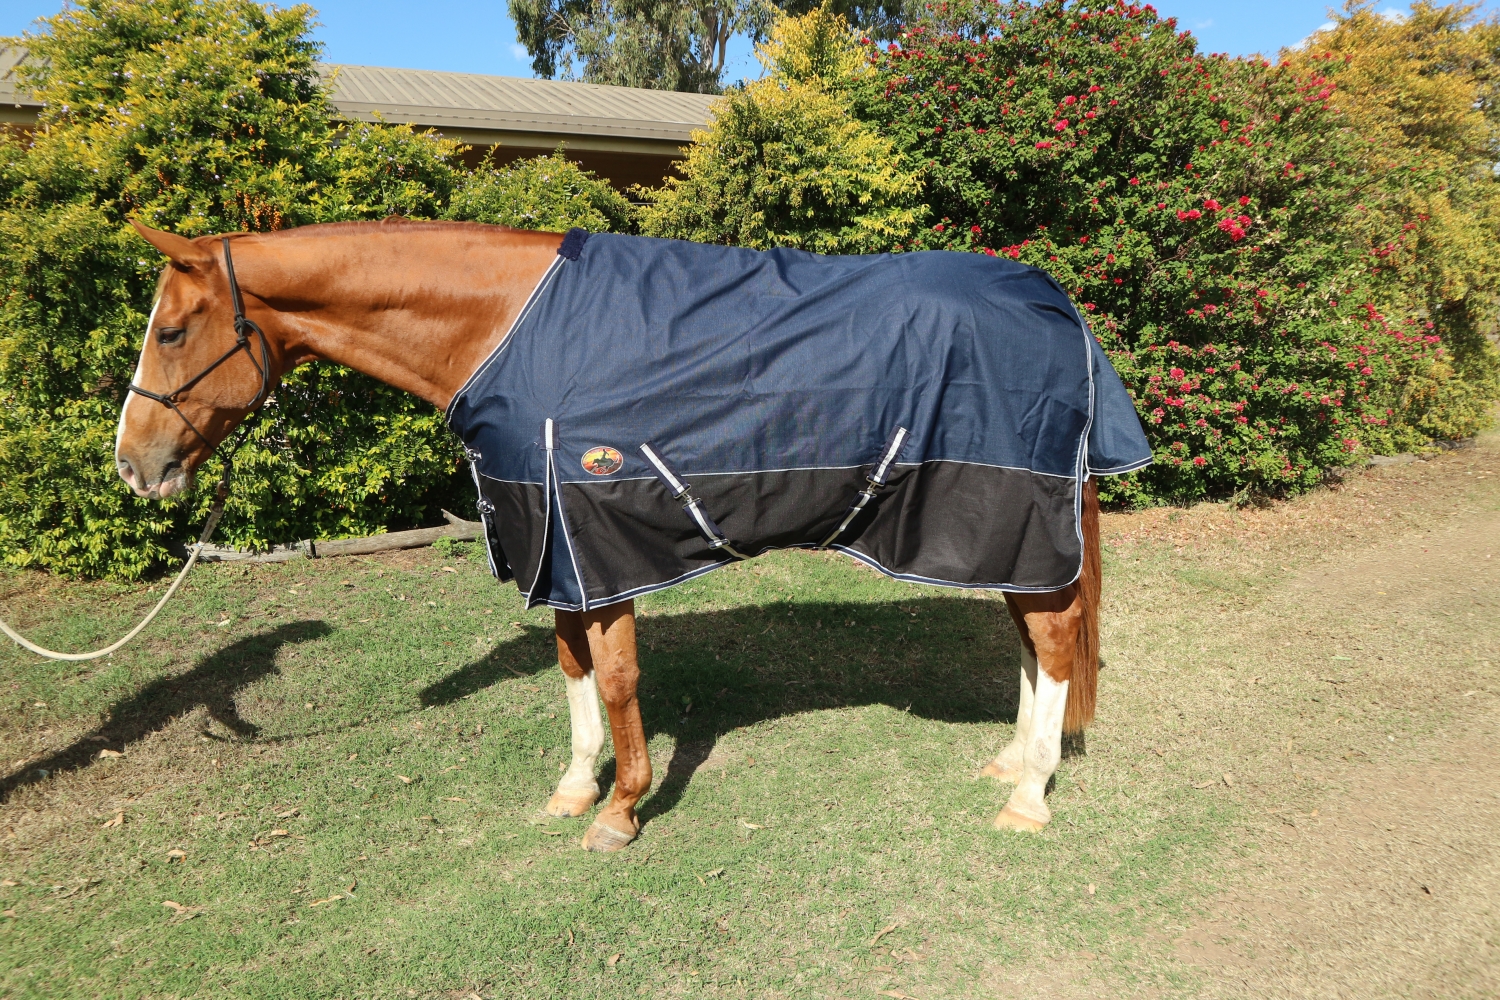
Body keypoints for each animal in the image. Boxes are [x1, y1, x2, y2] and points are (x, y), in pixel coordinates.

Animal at [115, 218, 1123, 852]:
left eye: (171, 332)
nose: (131, 466)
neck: (508, 333)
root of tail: (1056, 305)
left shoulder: (601, 542)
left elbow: (617, 675)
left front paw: (623, 811)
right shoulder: (554, 546)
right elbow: (571, 669)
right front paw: (575, 789)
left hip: (1011, 517)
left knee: (1055, 639)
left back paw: (1029, 798)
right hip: (1005, 538)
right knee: (1034, 640)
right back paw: (1010, 762)